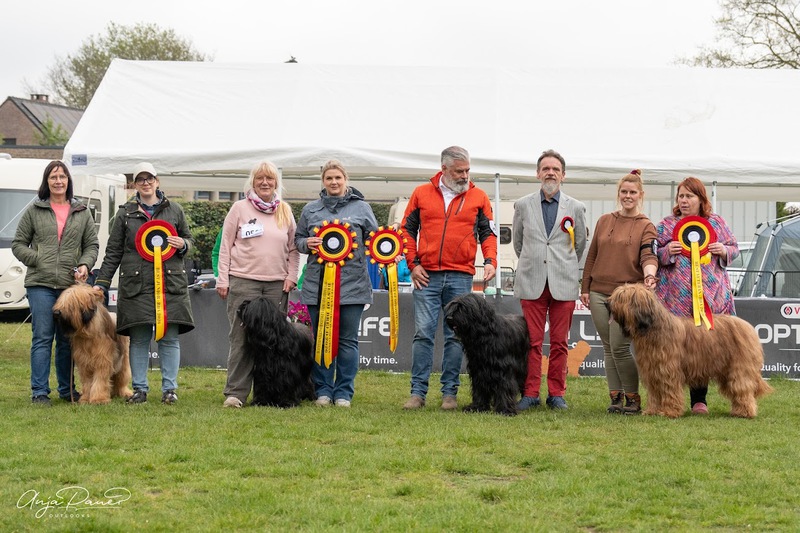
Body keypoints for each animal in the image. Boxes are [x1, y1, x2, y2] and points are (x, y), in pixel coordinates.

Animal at [607, 284, 772, 418]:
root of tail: (749, 327)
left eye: (621, 297)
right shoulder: (652, 371)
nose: (607, 303)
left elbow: (669, 390)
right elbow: (654, 393)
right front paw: (652, 411)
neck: (653, 329)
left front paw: (669, 412)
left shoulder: (668, 370)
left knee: (742, 389)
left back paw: (745, 412)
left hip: (739, 368)